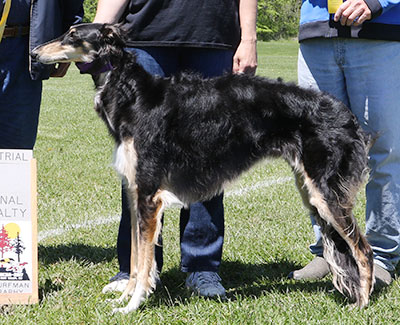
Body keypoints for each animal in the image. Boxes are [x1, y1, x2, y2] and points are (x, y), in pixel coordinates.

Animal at [32, 22, 374, 312]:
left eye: (72, 36)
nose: (34, 53)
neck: (135, 95)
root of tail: (346, 113)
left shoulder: (149, 195)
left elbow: (143, 262)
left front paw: (131, 306)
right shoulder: (134, 192)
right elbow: (135, 258)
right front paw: (126, 296)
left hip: (326, 195)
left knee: (363, 250)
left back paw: (362, 303)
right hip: (310, 191)